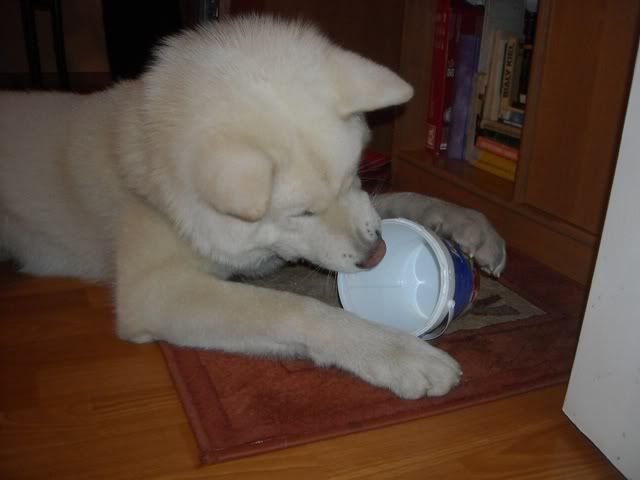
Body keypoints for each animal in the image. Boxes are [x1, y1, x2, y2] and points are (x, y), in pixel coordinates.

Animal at [0, 16, 505, 399]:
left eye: (353, 174)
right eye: (300, 214)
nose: (376, 256)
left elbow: (401, 199)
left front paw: (469, 226)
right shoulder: (152, 292)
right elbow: (293, 310)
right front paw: (395, 352)